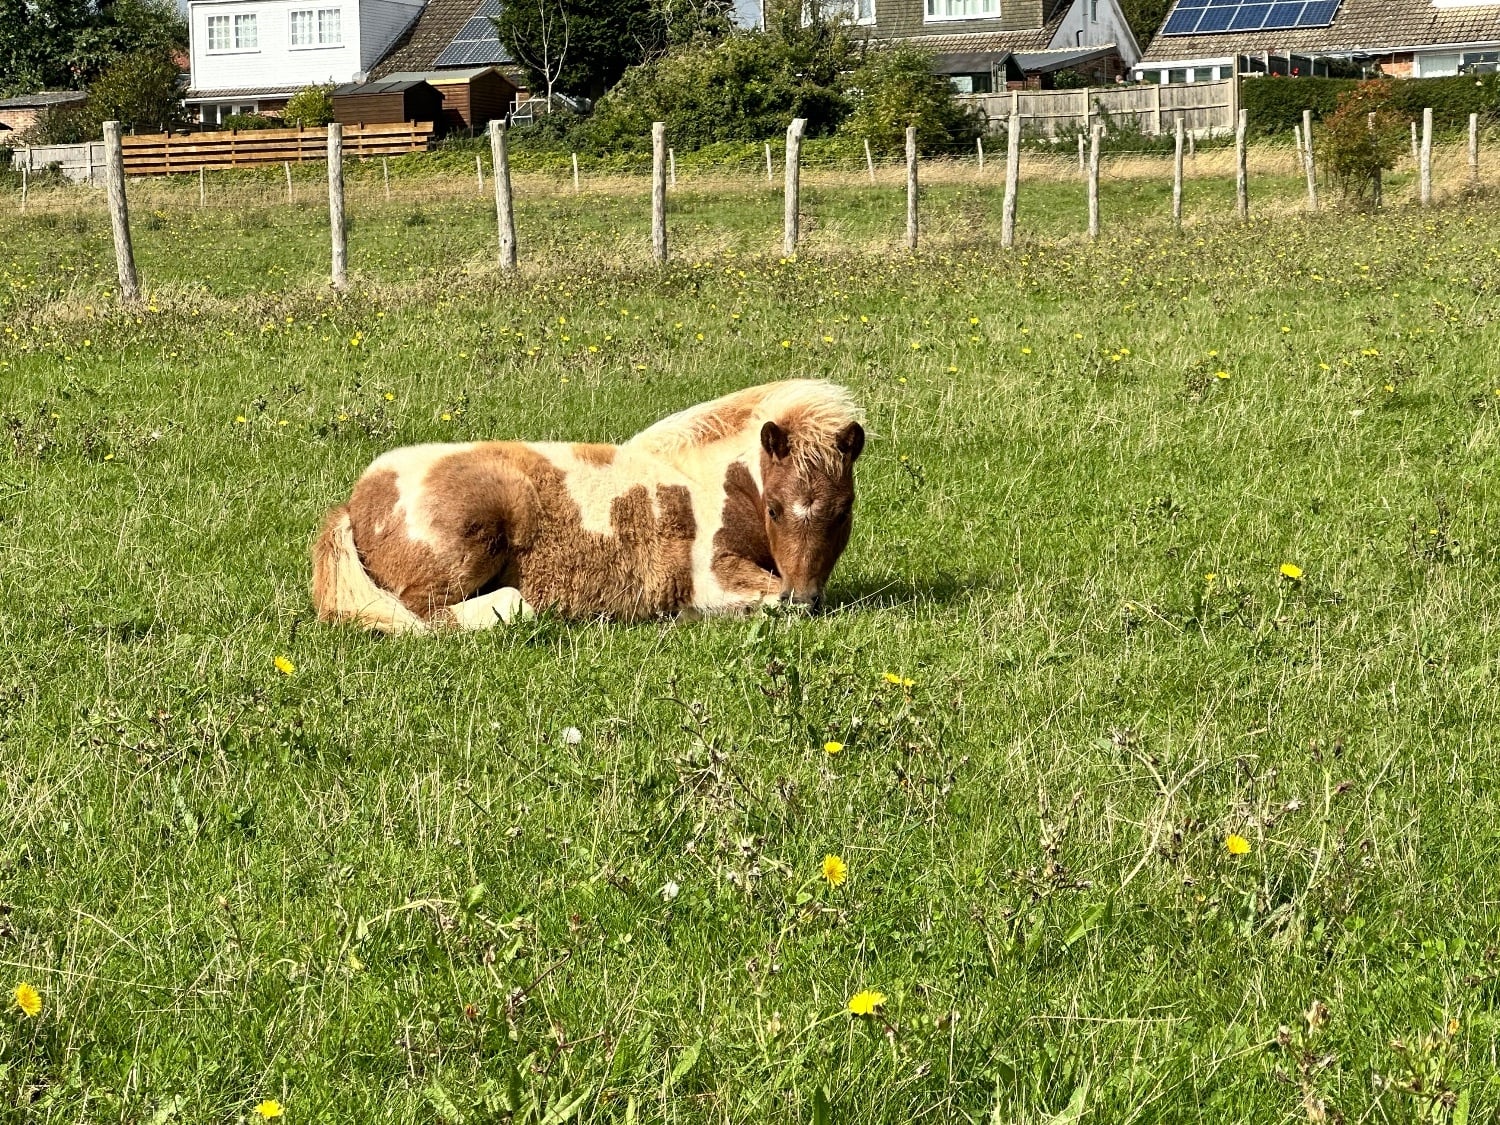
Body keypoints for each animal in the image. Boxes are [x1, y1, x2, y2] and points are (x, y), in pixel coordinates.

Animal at [310, 379, 866, 633]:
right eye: (775, 508)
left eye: (844, 511)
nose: (805, 598)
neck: (708, 488)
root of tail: (355, 504)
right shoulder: (714, 580)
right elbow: (763, 601)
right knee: (427, 614)